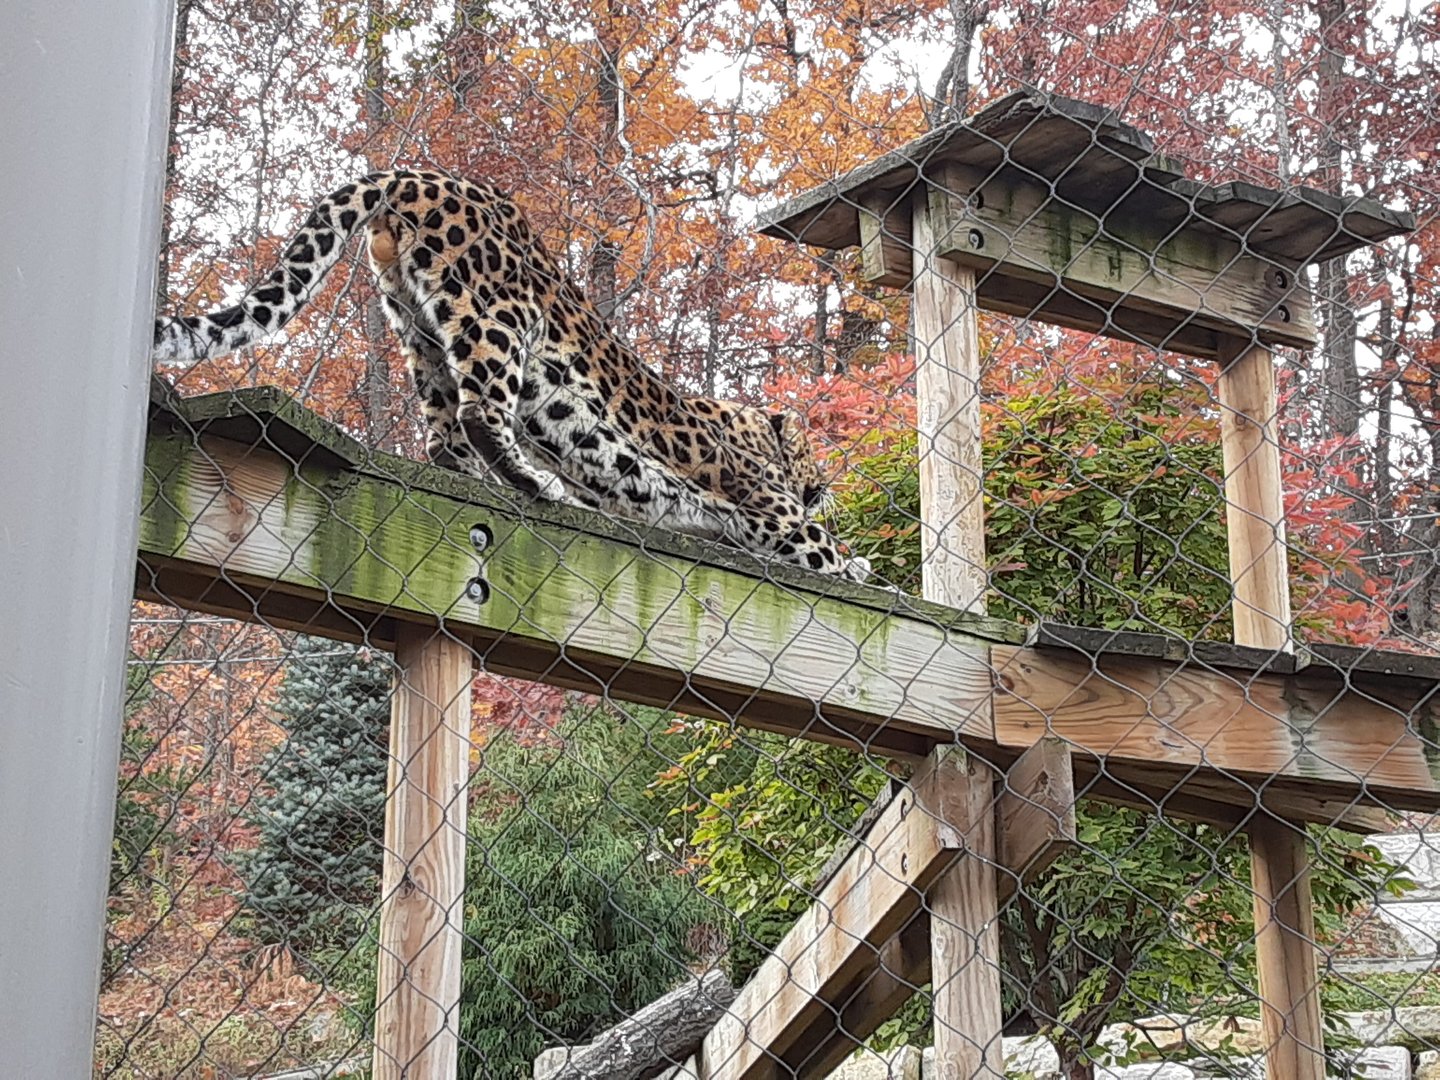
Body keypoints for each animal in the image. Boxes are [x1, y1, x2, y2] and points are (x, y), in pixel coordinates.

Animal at [152, 168, 870, 581]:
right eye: (816, 452)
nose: (829, 485)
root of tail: (418, 174)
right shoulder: (774, 516)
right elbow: (824, 551)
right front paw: (862, 567)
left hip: (417, 328)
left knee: (442, 431)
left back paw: (474, 475)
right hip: (499, 314)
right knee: (480, 411)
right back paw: (536, 482)